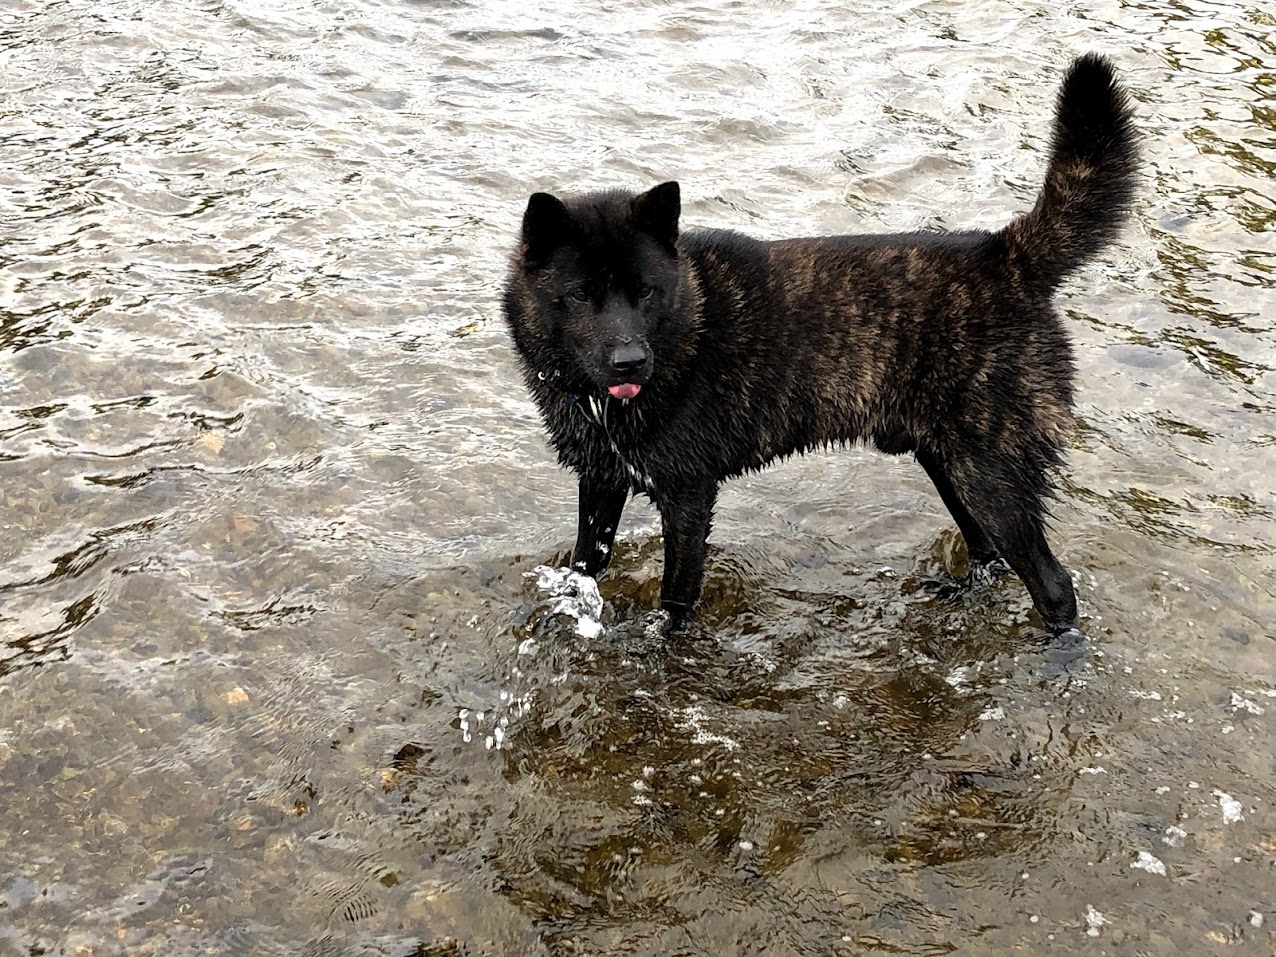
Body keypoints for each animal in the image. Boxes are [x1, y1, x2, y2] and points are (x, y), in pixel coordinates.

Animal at [497, 52, 1138, 638]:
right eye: (581, 295)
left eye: (646, 292)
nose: (630, 361)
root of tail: (1007, 257)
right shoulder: (601, 481)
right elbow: (584, 568)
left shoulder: (687, 497)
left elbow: (676, 603)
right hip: (952, 465)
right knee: (989, 553)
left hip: (990, 476)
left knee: (1053, 585)